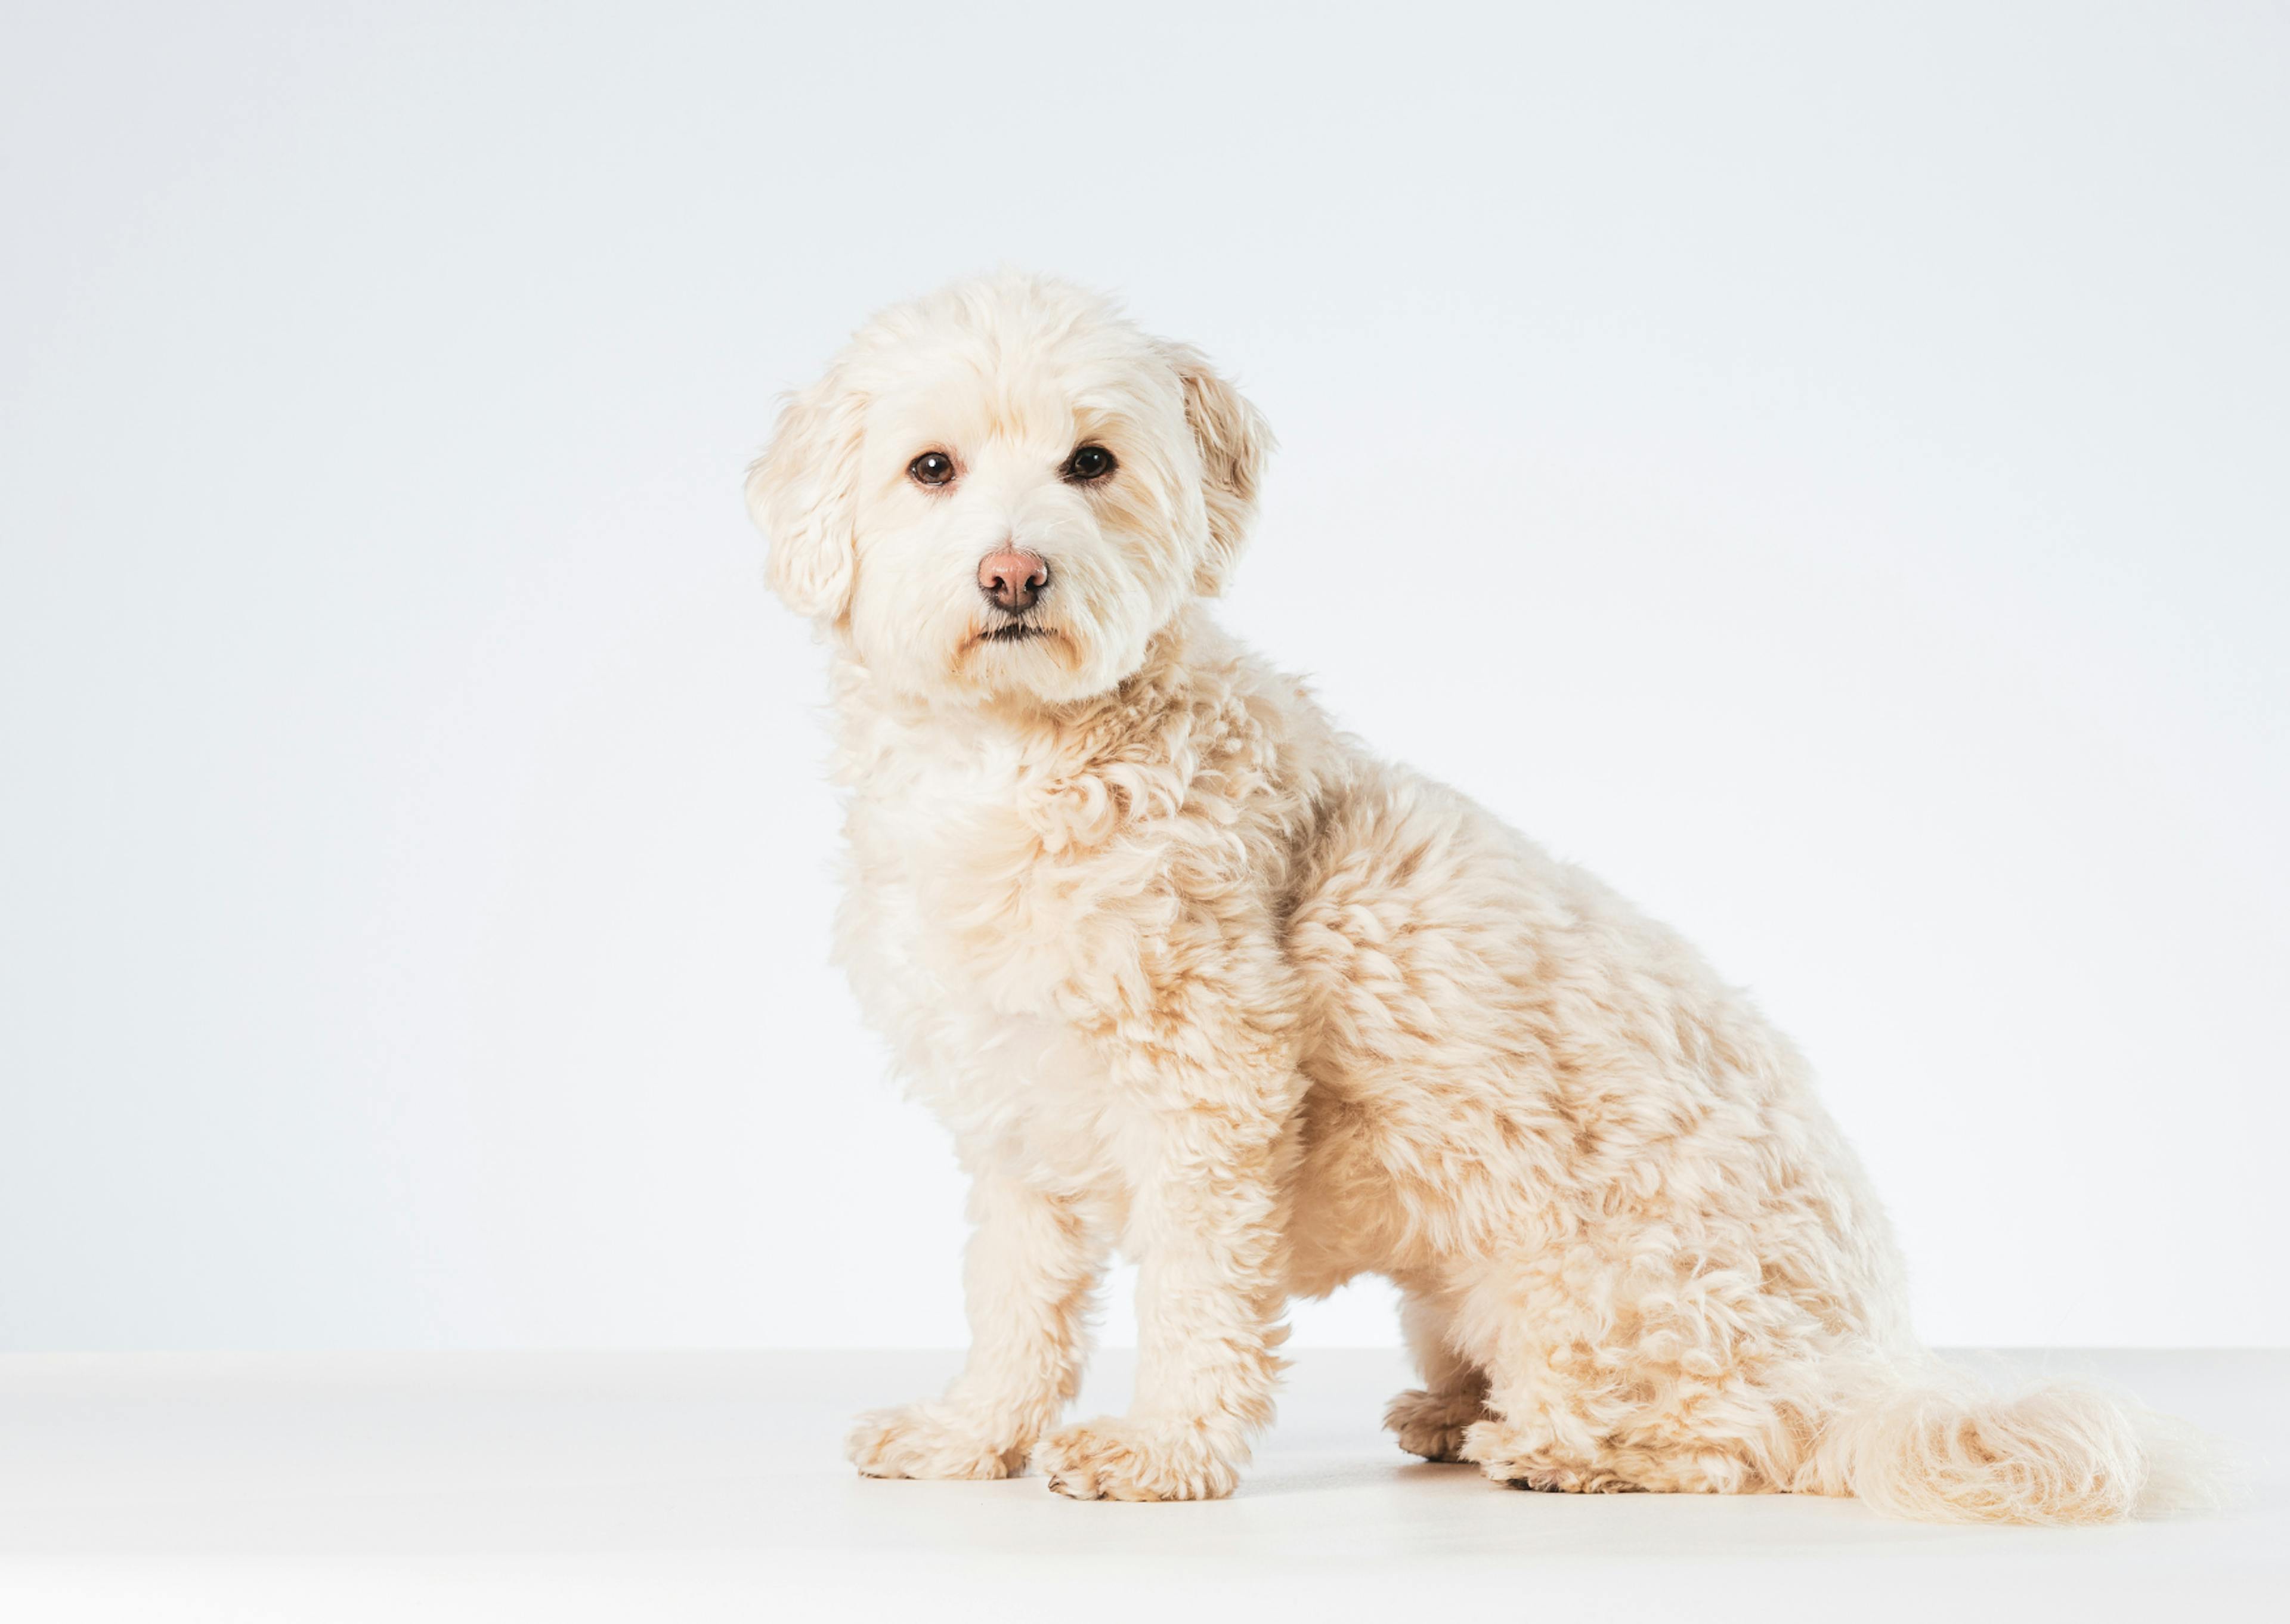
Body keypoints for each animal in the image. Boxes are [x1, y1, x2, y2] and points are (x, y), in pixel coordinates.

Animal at [746, 269, 2180, 1521]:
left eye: (1090, 464)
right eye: (933, 469)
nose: (1014, 576)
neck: (1016, 760)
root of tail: (1873, 1367)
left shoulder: (1212, 1093)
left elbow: (1196, 1295)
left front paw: (1165, 1450)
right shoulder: (1015, 1116)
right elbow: (1013, 1301)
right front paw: (968, 1433)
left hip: (1616, 1308)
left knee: (1736, 1441)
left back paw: (1549, 1446)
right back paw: (1451, 1411)